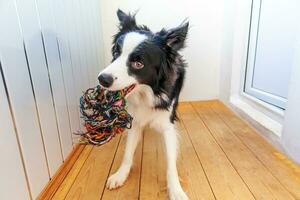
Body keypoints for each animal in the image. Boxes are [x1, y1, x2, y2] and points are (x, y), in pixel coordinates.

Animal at [98, 9, 188, 200]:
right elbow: (127, 153)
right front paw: (120, 175)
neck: (147, 94)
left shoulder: (167, 125)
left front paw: (176, 190)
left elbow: (171, 163)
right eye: (116, 53)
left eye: (138, 63)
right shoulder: (135, 121)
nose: (102, 79)